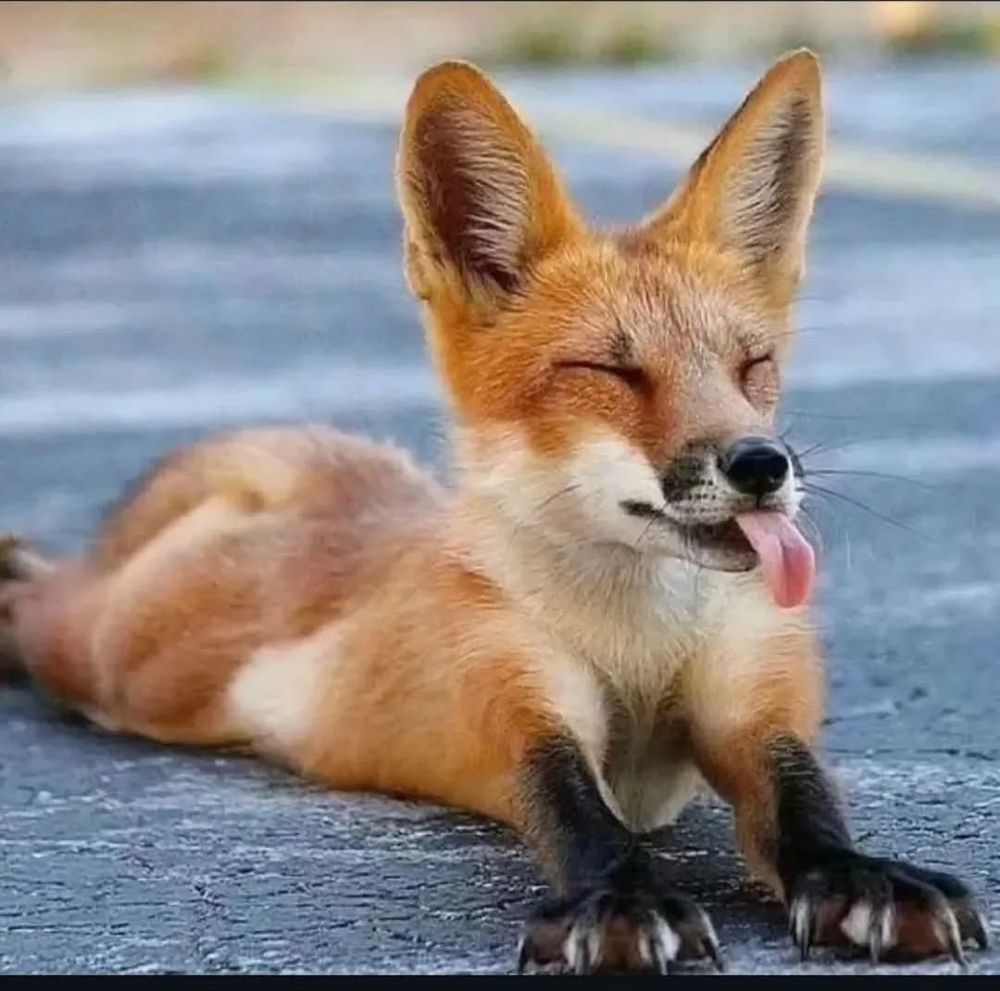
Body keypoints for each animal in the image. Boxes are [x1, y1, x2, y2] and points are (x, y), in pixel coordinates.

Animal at [0, 51, 990, 974]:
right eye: (611, 371)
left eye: (752, 367)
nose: (762, 464)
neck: (640, 642)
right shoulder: (516, 701)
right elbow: (574, 806)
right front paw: (621, 897)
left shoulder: (753, 703)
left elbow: (804, 802)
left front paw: (861, 876)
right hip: (119, 667)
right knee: (50, 605)